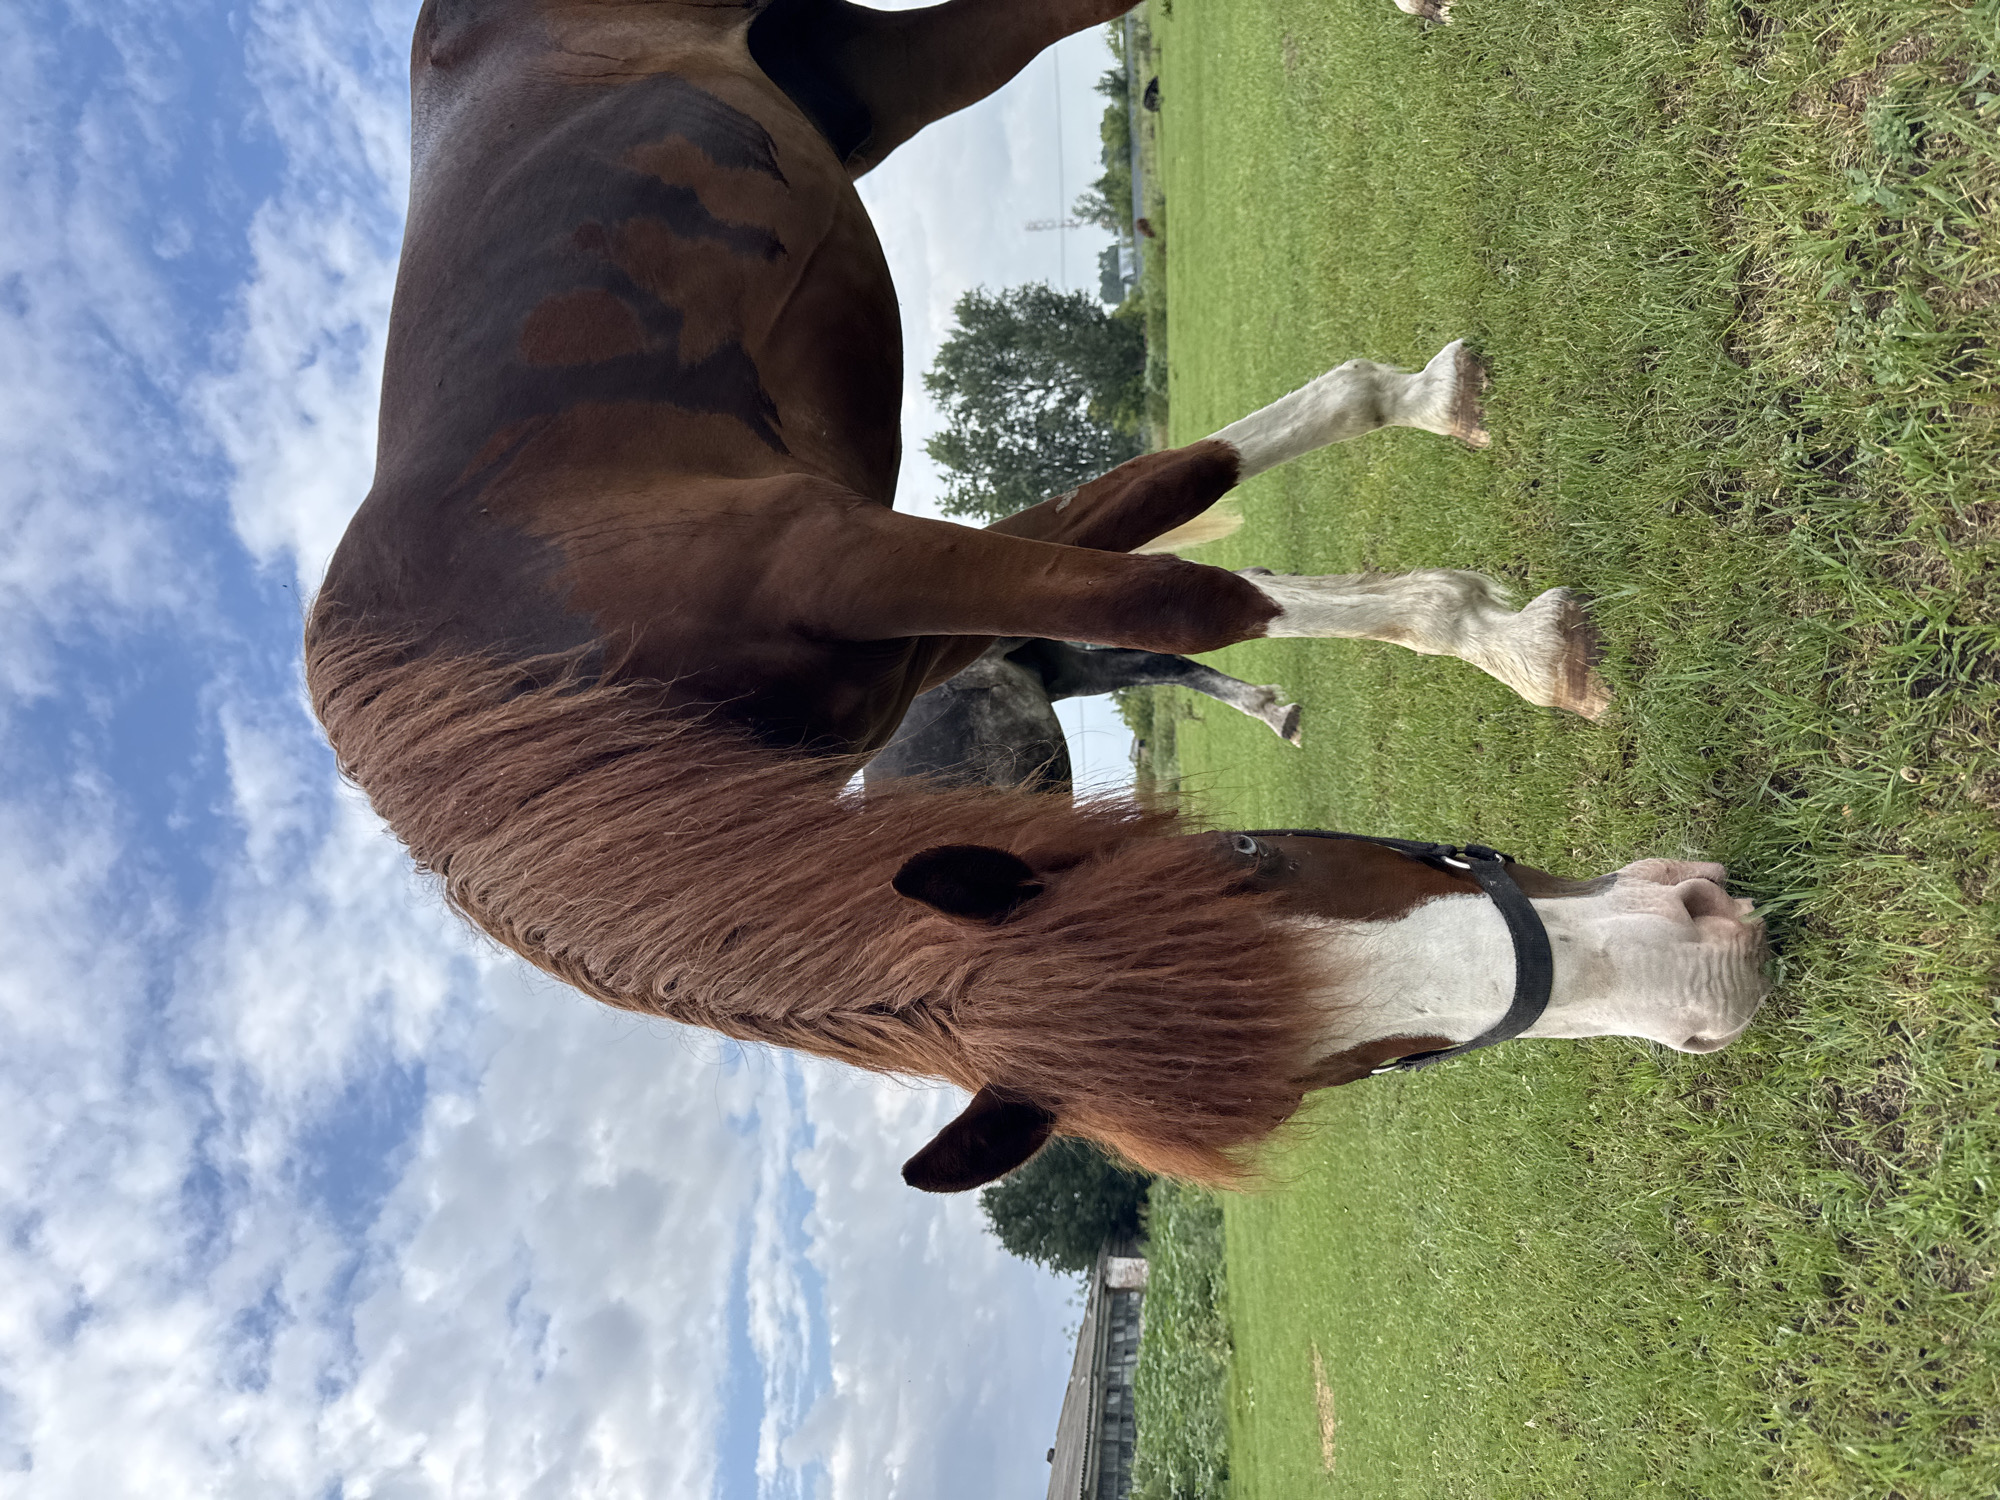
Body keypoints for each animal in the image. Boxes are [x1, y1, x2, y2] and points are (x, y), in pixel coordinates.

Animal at [307, 0, 1768, 1192]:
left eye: (1250, 856)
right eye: (1344, 1069)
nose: (1709, 954)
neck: (534, 685)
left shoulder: (844, 550)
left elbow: (1183, 578)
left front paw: (1504, 610)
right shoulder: (921, 605)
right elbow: (1176, 540)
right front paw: (1475, 586)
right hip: (871, 78)